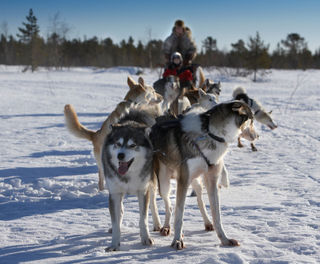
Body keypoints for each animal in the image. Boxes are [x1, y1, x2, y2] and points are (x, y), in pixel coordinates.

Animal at [101, 110, 158, 252]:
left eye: (133, 145)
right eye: (118, 144)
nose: (120, 155)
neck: (128, 175)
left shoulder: (143, 191)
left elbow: (143, 219)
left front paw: (146, 239)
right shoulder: (115, 194)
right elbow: (116, 222)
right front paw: (114, 244)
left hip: (152, 183)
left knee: (153, 204)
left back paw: (158, 224)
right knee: (120, 211)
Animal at [151, 100, 255, 249]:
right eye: (251, 120)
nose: (257, 136)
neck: (211, 133)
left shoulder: (212, 180)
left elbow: (217, 216)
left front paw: (225, 240)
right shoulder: (183, 181)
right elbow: (179, 215)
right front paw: (177, 240)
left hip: (197, 182)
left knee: (199, 200)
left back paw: (207, 222)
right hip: (164, 182)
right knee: (169, 205)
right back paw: (166, 227)